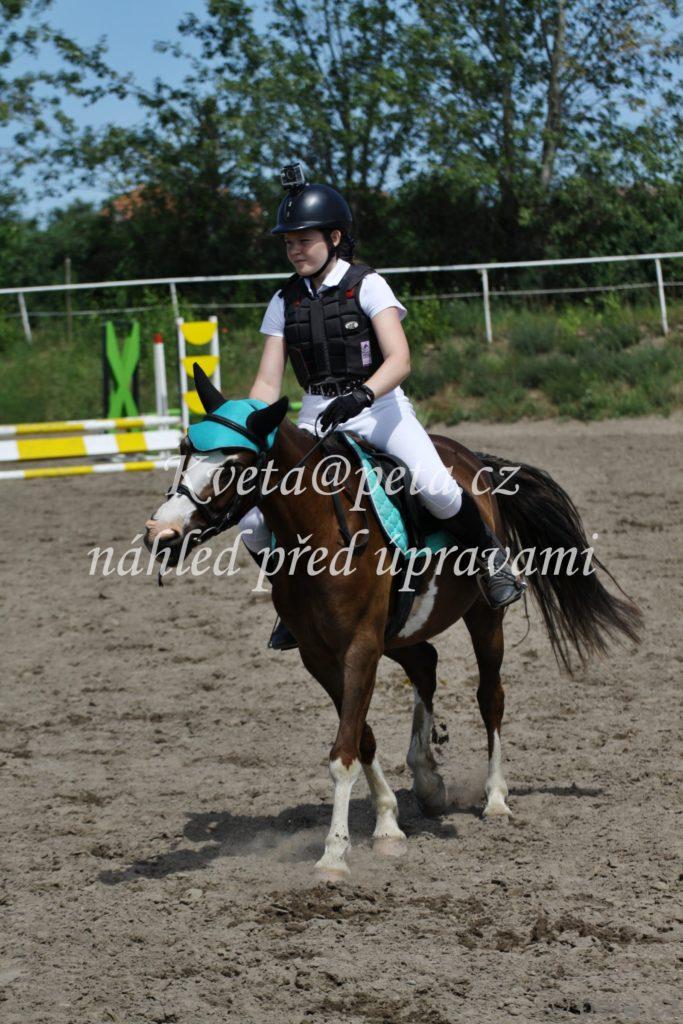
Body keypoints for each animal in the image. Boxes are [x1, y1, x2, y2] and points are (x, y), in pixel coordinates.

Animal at [144, 367, 641, 879]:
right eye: (184, 449)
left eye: (234, 466)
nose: (161, 535)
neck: (320, 530)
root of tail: (475, 461)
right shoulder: (320, 656)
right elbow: (360, 737)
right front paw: (386, 823)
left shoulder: (360, 647)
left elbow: (343, 751)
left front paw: (335, 854)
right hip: (402, 633)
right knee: (426, 666)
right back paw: (426, 778)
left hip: (484, 618)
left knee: (490, 697)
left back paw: (496, 798)